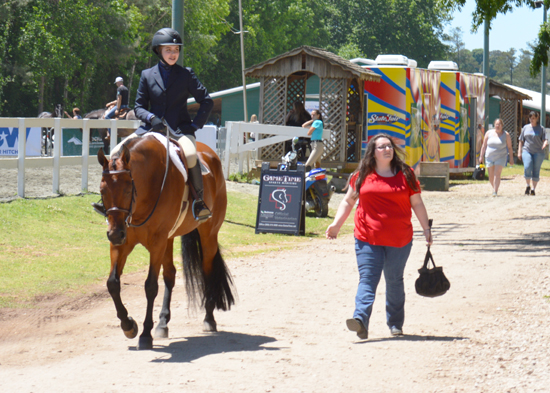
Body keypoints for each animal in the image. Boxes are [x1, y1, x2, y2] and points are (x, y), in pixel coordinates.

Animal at [97, 134, 235, 350]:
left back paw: (209, 319)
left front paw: (145, 334)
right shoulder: (123, 244)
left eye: (128, 190)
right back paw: (162, 323)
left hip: (208, 234)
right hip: (168, 239)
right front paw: (129, 326)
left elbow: (150, 286)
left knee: (207, 270)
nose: (115, 234)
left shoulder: (157, 243)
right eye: (102, 191)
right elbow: (112, 283)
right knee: (170, 274)